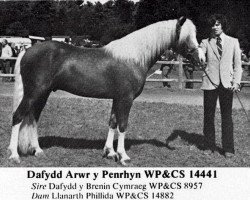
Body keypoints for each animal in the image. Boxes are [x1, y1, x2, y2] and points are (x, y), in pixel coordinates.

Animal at [8, 17, 205, 165]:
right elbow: (123, 125)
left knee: (33, 118)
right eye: (187, 37)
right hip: (33, 93)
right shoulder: (126, 99)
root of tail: (27, 50)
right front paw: (123, 156)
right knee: (18, 117)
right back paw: (14, 155)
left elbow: (112, 123)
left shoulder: (116, 99)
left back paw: (38, 150)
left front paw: (110, 152)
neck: (133, 57)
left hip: (43, 94)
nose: (201, 59)